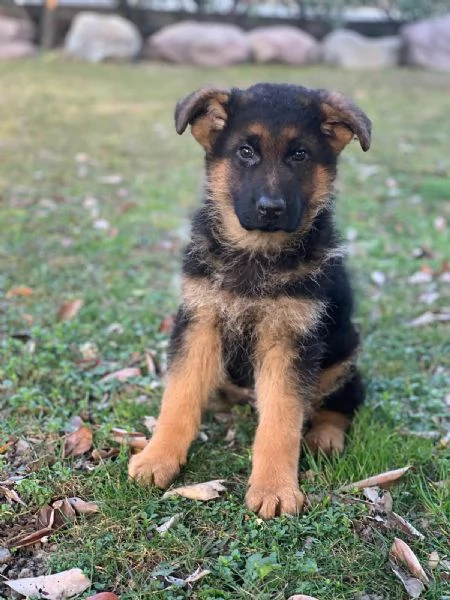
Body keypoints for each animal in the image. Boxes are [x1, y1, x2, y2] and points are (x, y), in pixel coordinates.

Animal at [128, 83, 370, 520]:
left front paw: (275, 487)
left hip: (344, 356)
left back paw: (325, 436)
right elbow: (179, 397)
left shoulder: (289, 340)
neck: (256, 254)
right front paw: (158, 458)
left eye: (300, 154)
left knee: (345, 400)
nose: (271, 209)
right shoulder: (199, 323)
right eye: (245, 151)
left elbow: (282, 419)